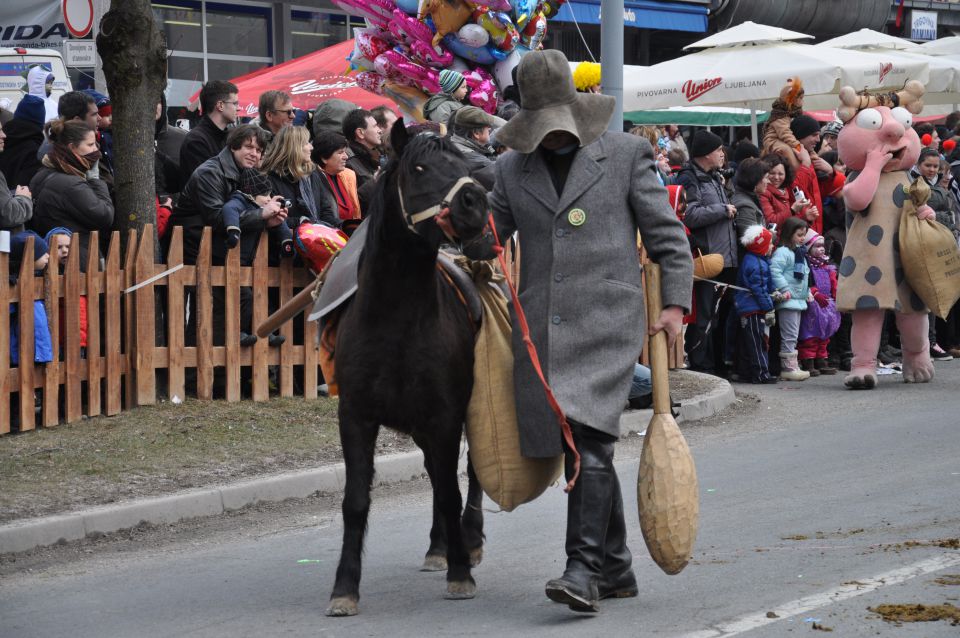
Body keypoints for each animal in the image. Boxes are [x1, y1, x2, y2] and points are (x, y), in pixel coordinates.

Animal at [328, 122, 492, 616]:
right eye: (419, 168)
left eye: (462, 162)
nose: (475, 201)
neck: (395, 319)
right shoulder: (356, 417)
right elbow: (356, 501)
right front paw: (345, 587)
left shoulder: (447, 416)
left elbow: (452, 489)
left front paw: (461, 571)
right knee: (437, 476)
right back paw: (440, 545)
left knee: (467, 473)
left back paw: (467, 540)